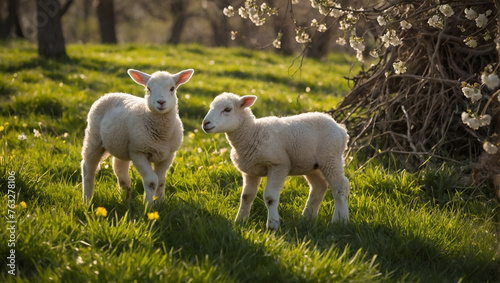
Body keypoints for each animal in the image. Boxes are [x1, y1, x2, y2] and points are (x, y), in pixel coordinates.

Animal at [82, 68, 193, 207]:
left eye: (172, 88)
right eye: (149, 89)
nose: (161, 102)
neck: (161, 135)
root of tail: (111, 93)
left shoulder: (168, 155)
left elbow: (161, 181)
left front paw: (160, 202)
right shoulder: (138, 152)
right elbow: (152, 181)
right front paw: (148, 206)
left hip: (121, 146)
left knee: (120, 171)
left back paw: (126, 199)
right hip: (94, 137)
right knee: (88, 169)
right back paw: (87, 200)